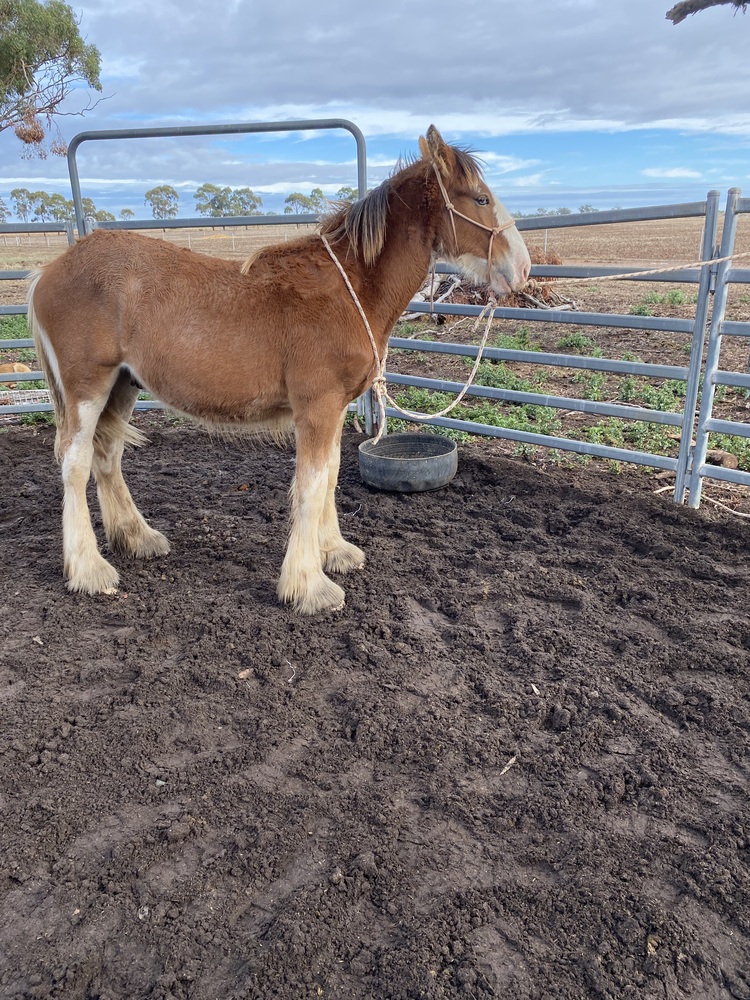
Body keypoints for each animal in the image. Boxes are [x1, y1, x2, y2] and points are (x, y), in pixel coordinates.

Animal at [27, 125, 531, 614]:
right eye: (480, 199)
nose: (523, 269)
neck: (349, 288)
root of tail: (49, 271)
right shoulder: (317, 409)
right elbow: (309, 486)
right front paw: (309, 586)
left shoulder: (334, 410)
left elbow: (330, 475)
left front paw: (334, 552)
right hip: (88, 387)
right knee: (75, 464)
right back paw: (89, 569)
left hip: (123, 386)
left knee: (107, 455)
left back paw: (136, 538)